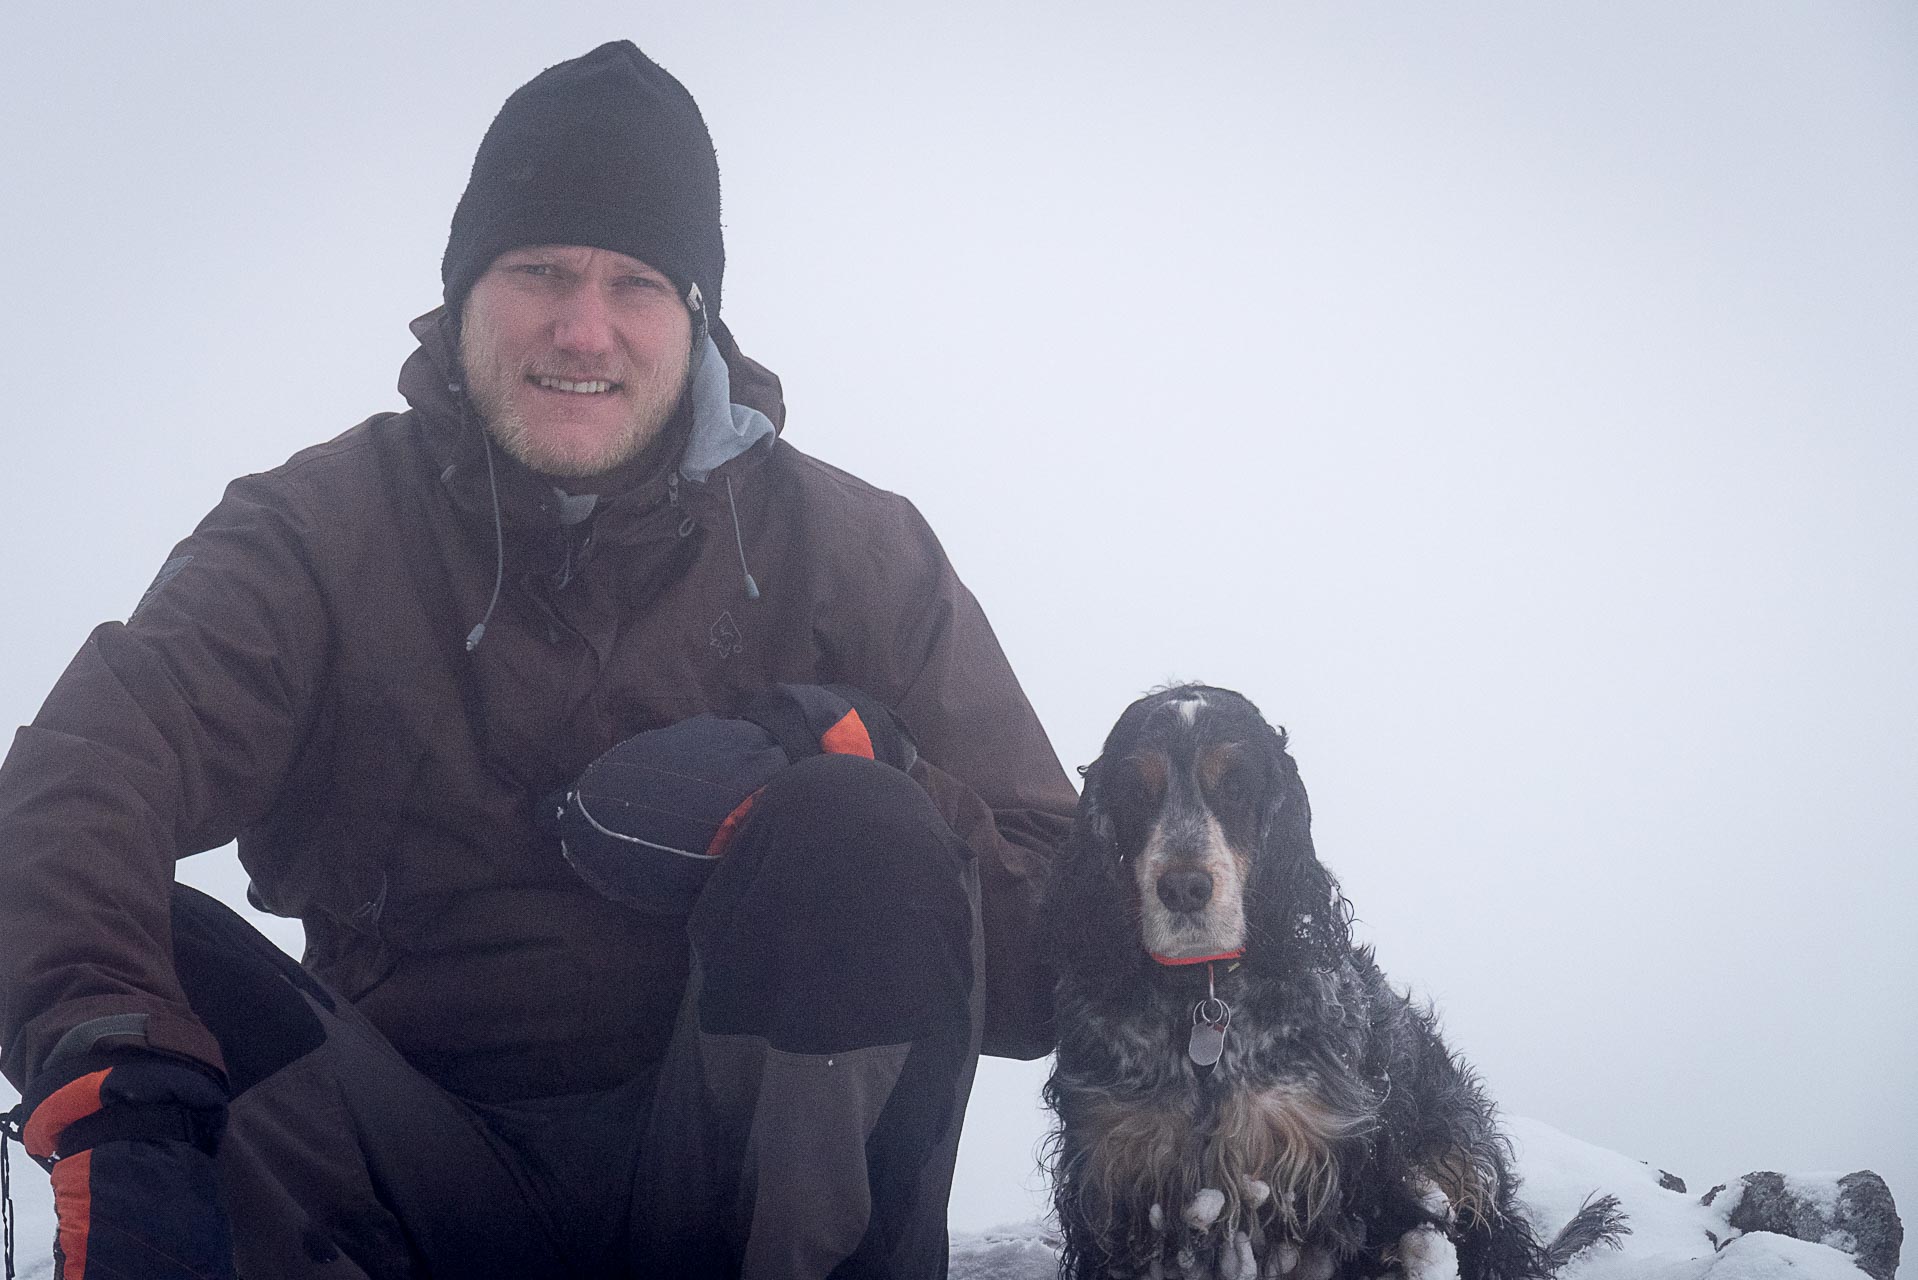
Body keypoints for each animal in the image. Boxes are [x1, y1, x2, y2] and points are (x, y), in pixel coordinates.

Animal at [1043, 690, 1626, 1280]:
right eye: (1135, 790)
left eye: (1237, 785)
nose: (1184, 888)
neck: (1203, 1000)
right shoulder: (1111, 1171)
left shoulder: (1336, 1169)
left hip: (1452, 1160)